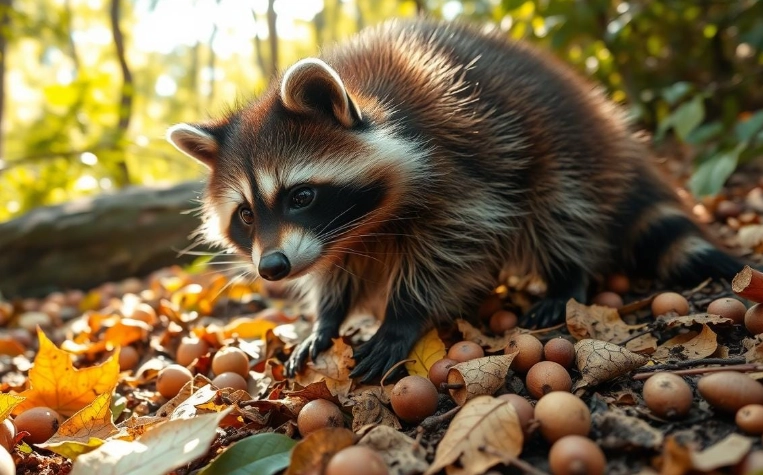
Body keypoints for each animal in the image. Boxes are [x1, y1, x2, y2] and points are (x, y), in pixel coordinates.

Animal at [167, 18, 746, 382]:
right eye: (246, 215)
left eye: (301, 195)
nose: (272, 268)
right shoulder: (336, 238)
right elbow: (337, 270)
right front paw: (327, 318)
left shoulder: (464, 164)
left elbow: (454, 243)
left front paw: (402, 315)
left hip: (559, 141)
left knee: (561, 206)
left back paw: (566, 275)